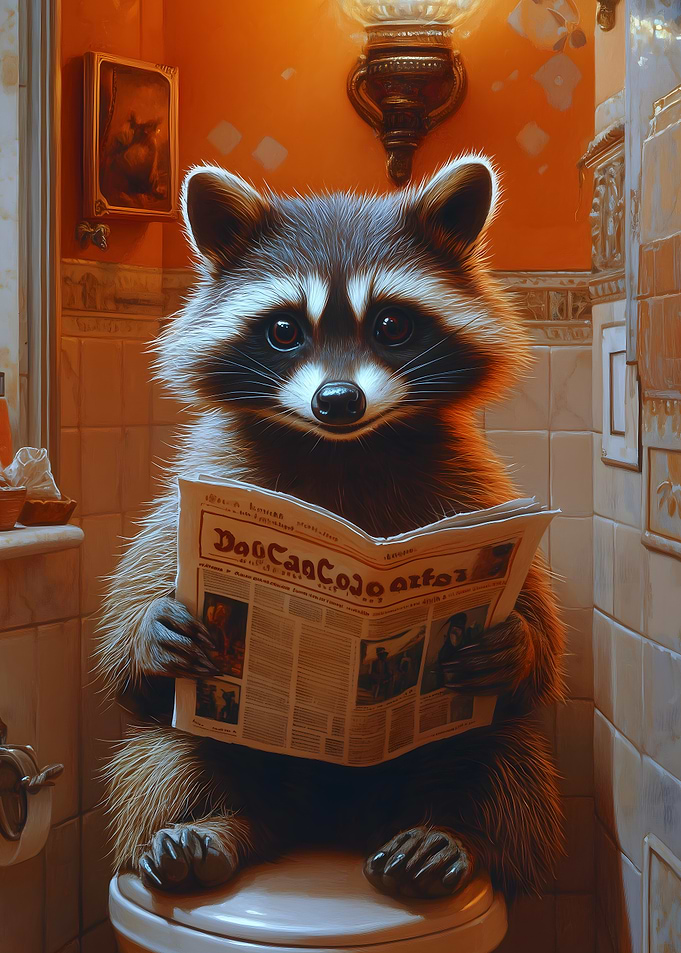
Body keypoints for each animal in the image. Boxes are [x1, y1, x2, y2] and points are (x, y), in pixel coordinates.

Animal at [99, 157, 565, 901]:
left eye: (392, 325)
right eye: (285, 330)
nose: (338, 400)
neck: (342, 447)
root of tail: (326, 828)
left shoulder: (475, 488)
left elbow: (540, 651)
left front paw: (514, 640)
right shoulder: (205, 478)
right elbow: (127, 644)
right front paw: (148, 628)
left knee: (504, 752)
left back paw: (458, 838)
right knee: (160, 749)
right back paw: (210, 827)